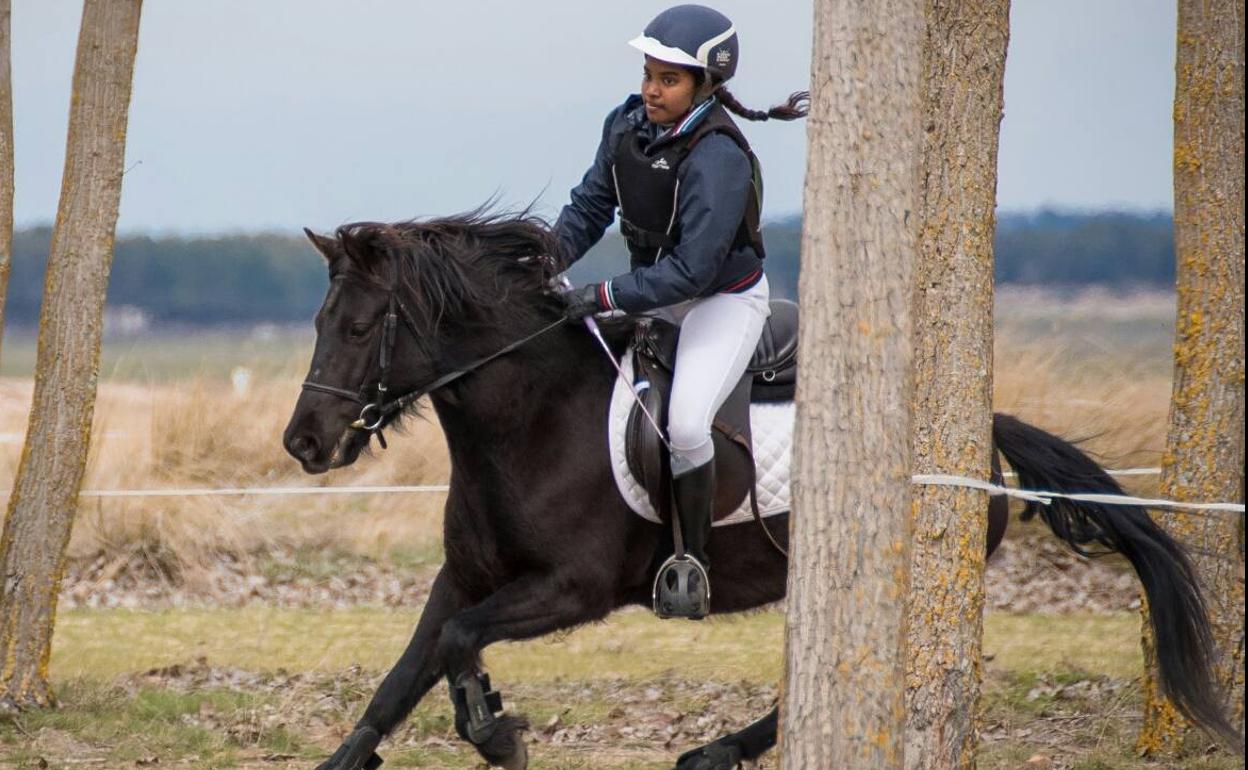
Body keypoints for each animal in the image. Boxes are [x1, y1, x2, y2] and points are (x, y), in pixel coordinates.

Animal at [287, 212, 1233, 768]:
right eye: (319, 321)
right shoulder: (466, 577)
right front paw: (369, 749)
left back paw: (712, 753)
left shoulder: (570, 589)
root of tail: (973, 434)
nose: (304, 443)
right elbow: (410, 668)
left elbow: (457, 643)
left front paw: (496, 730)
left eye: (362, 327)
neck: (531, 420)